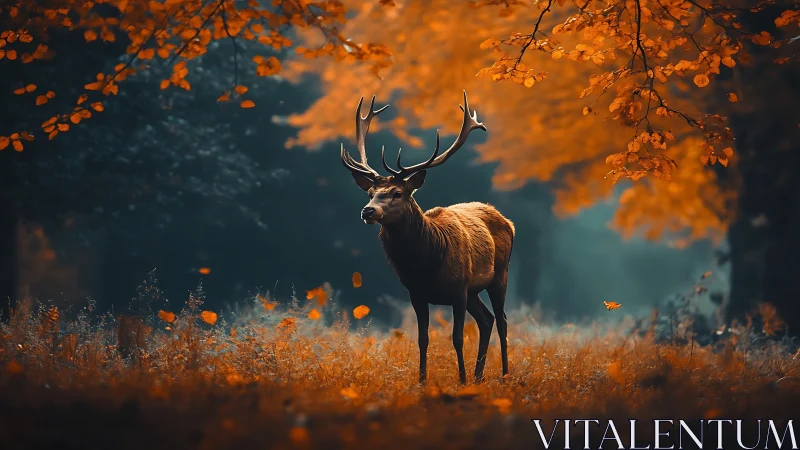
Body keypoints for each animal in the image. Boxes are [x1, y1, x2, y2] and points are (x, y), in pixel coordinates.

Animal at [340, 91, 515, 385]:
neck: (427, 262)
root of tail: (508, 221)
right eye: (371, 193)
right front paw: (422, 381)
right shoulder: (416, 294)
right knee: (487, 319)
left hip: (499, 275)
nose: (368, 211)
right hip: (474, 290)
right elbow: (423, 339)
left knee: (501, 320)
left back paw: (503, 373)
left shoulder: (458, 290)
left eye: (398, 193)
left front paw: (461, 381)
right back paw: (479, 376)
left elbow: (457, 338)